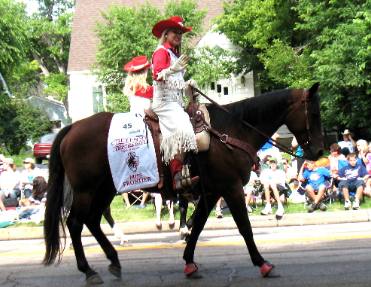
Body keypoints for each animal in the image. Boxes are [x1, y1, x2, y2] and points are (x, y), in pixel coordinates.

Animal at [42, 82, 324, 284]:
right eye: (314, 113)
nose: (319, 151)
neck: (230, 131)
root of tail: (71, 128)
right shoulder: (230, 187)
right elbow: (244, 227)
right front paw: (262, 263)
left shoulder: (211, 191)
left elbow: (197, 226)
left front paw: (189, 262)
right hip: (86, 190)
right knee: (76, 223)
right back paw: (89, 270)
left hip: (105, 189)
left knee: (92, 220)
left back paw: (113, 260)